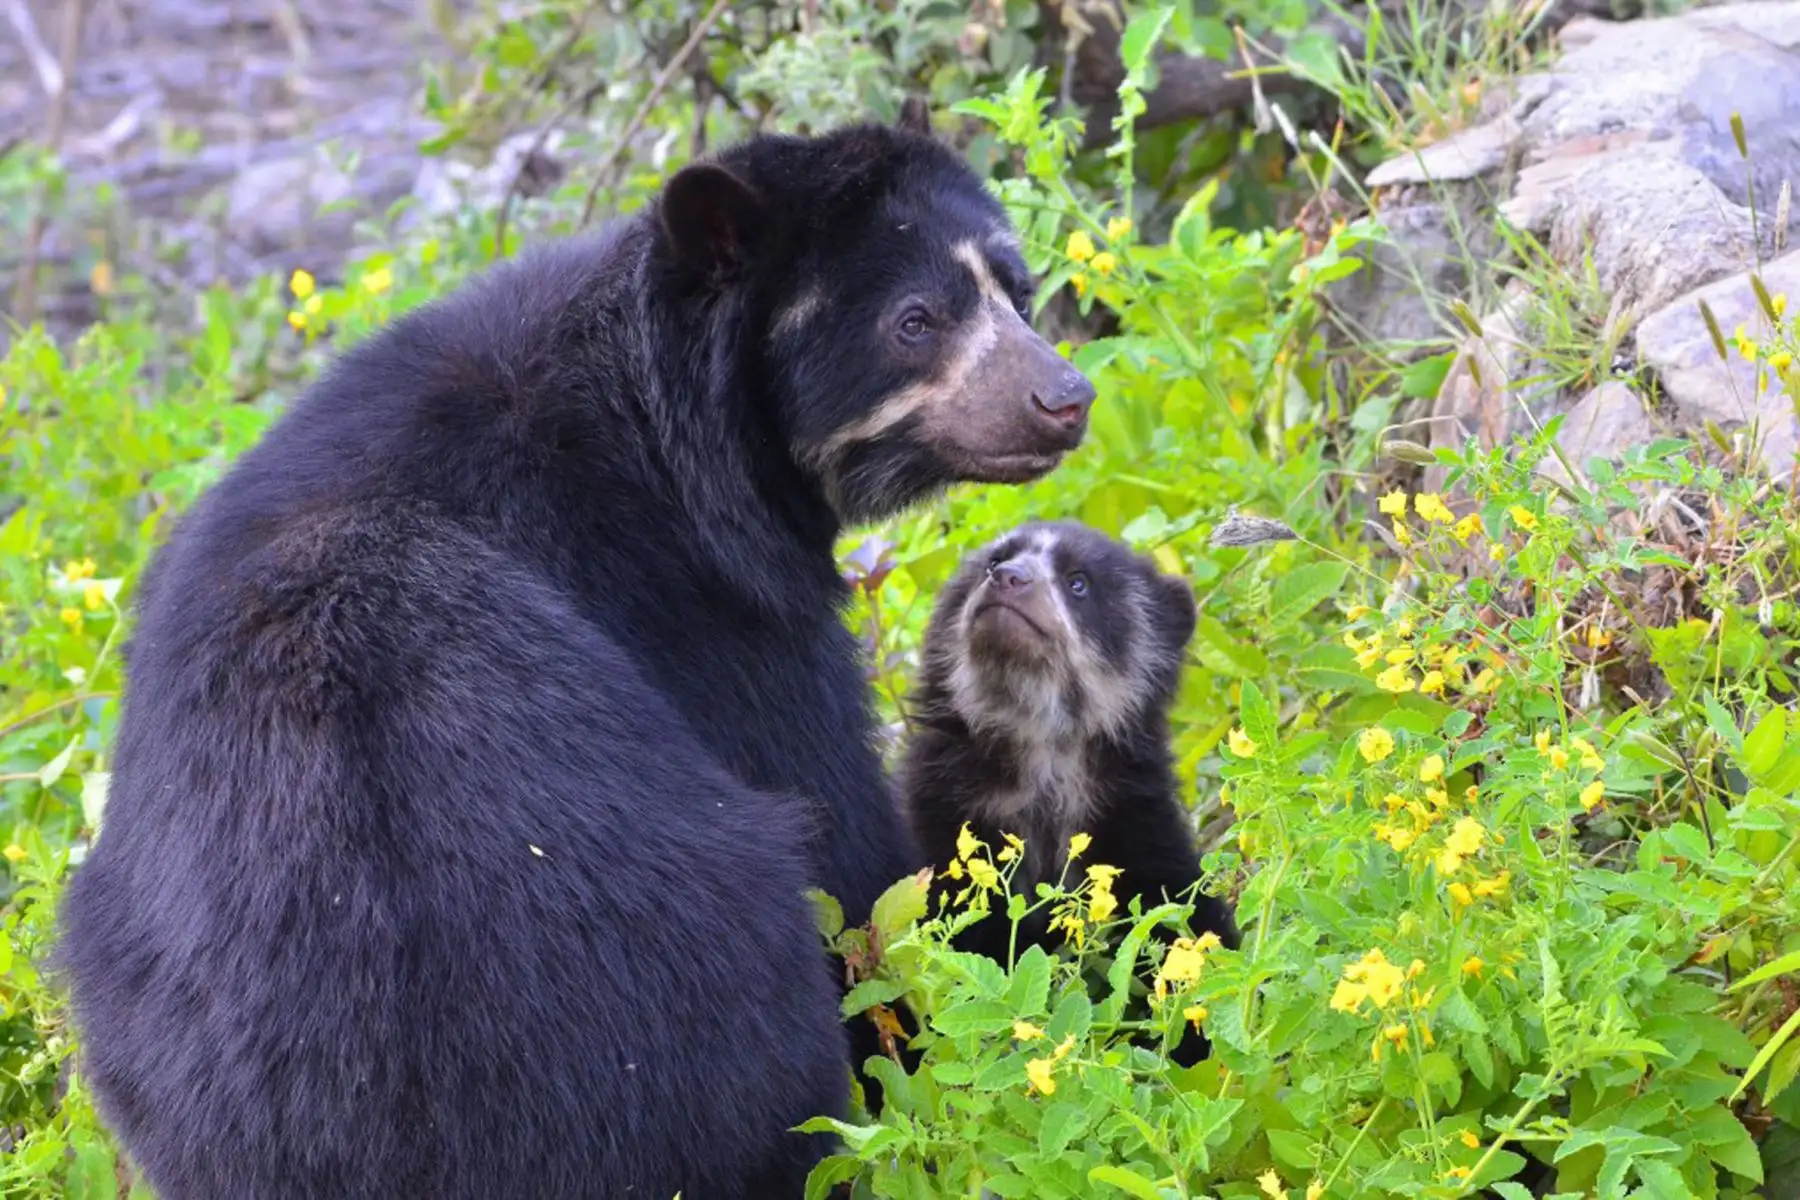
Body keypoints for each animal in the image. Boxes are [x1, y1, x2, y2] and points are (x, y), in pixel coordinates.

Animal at [53, 110, 1095, 1200]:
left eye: (1015, 290)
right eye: (915, 321)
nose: (1065, 396)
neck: (679, 427)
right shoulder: (702, 602)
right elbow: (849, 844)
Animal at [897, 520, 1239, 1064]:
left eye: (1079, 583)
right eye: (995, 559)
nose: (1007, 578)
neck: (1042, 754)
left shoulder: (1132, 822)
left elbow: (1176, 916)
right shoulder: (942, 815)